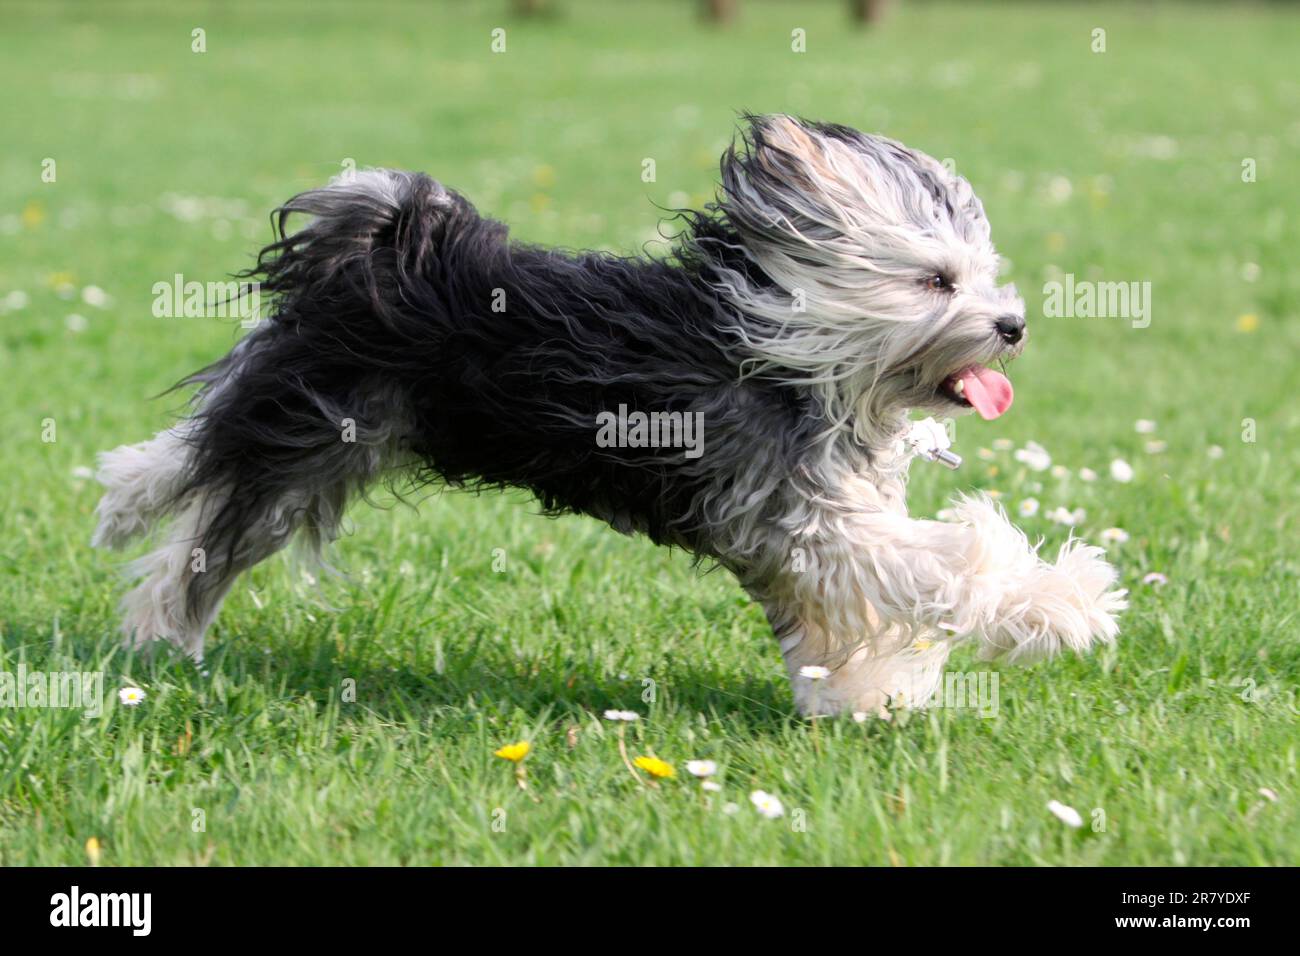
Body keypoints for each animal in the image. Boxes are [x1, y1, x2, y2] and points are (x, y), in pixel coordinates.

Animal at [94, 113, 1128, 712]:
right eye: (936, 280)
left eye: (982, 275)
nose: (1013, 325)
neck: (792, 355)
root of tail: (389, 244)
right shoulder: (809, 520)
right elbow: (952, 560)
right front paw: (1068, 606)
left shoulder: (813, 536)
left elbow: (859, 617)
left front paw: (867, 694)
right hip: (311, 423)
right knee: (203, 503)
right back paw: (148, 605)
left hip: (324, 435)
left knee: (199, 470)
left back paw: (131, 544)